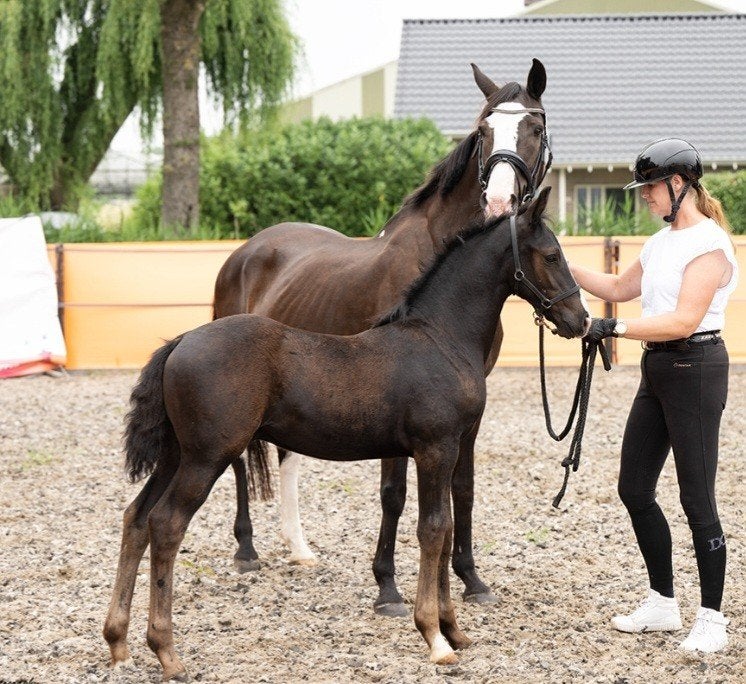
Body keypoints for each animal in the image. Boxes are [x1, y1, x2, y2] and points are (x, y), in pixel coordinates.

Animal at [103, 188, 588, 679]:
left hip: (176, 454)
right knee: (167, 524)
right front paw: (434, 637)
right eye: (552, 255)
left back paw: (118, 642)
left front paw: (454, 629)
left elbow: (446, 526)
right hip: (207, 456)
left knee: (137, 517)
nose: (580, 321)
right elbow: (433, 529)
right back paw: (166, 650)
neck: (440, 338)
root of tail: (180, 341)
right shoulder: (435, 448)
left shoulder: (446, 449)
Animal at [212, 60, 553, 614]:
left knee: (285, 456)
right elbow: (393, 492)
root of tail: (246, 252)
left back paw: (299, 547)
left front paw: (470, 578)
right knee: (242, 459)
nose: (500, 202)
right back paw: (246, 548)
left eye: (535, 128)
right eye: (482, 131)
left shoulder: (468, 402)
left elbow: (463, 487)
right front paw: (387, 586)